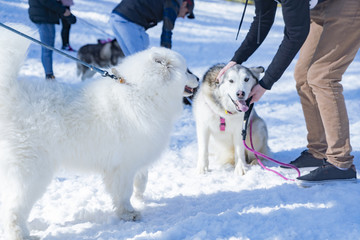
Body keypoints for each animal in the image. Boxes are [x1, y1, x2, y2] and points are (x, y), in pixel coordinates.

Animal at [0, 23, 197, 239]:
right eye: (187, 70)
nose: (197, 78)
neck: (142, 91)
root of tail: (11, 93)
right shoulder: (124, 165)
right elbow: (123, 192)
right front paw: (129, 213)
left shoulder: (135, 157)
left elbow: (140, 179)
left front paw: (139, 196)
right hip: (31, 171)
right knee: (13, 207)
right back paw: (21, 233)